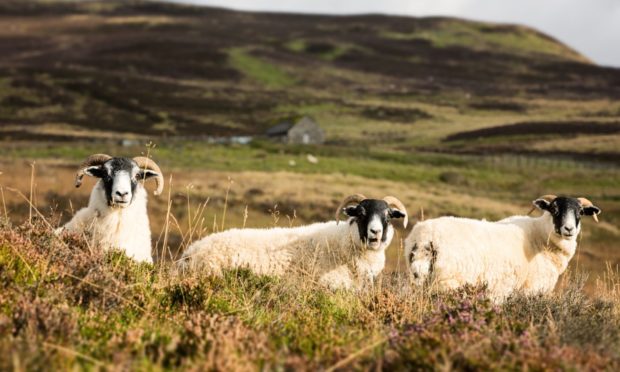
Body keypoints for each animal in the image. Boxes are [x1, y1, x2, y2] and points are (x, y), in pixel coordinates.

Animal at [404, 195, 604, 300]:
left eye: (580, 212)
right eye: (554, 210)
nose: (568, 229)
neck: (540, 236)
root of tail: (426, 237)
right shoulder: (529, 289)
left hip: (419, 279)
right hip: (448, 283)